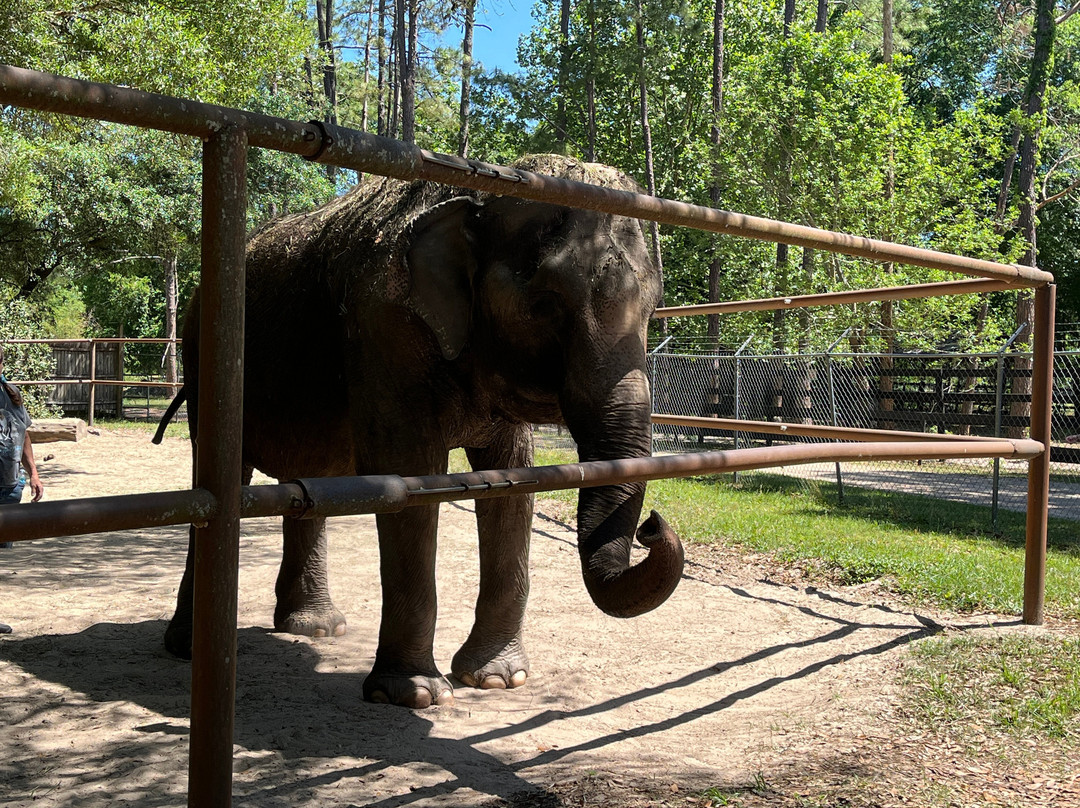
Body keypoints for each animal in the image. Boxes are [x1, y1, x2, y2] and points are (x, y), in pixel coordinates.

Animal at [155, 154, 685, 709]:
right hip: (206, 357)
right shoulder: (383, 324)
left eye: (654, 309)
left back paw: (315, 628)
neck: (478, 192)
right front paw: (413, 695)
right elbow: (408, 473)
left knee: (307, 479)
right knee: (222, 475)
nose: (652, 525)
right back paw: (189, 647)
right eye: (545, 304)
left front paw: (497, 679)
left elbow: (512, 478)